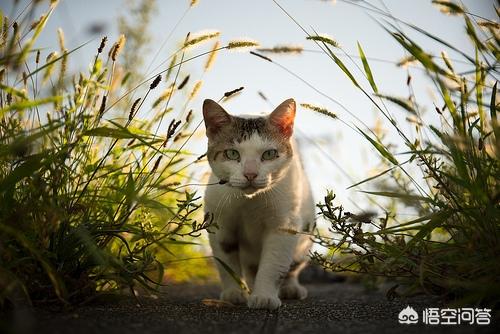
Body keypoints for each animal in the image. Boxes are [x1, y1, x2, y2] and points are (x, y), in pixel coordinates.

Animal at [201, 97, 314, 310]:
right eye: (232, 154)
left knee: (292, 267)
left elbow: (273, 264)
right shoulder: (220, 224)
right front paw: (234, 293)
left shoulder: (284, 225)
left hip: (305, 235)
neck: (249, 202)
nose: (250, 174)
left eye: (269, 154)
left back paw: (291, 288)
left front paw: (264, 296)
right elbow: (226, 263)